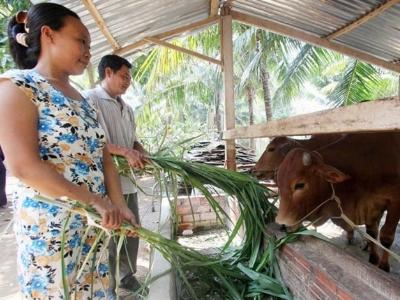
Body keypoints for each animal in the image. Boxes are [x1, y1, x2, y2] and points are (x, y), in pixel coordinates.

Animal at [276, 143, 400, 272]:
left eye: (300, 185)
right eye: (278, 182)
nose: (282, 224)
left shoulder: (394, 202)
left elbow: (386, 238)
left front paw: (383, 266)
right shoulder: (372, 208)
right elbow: (372, 233)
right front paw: (373, 258)